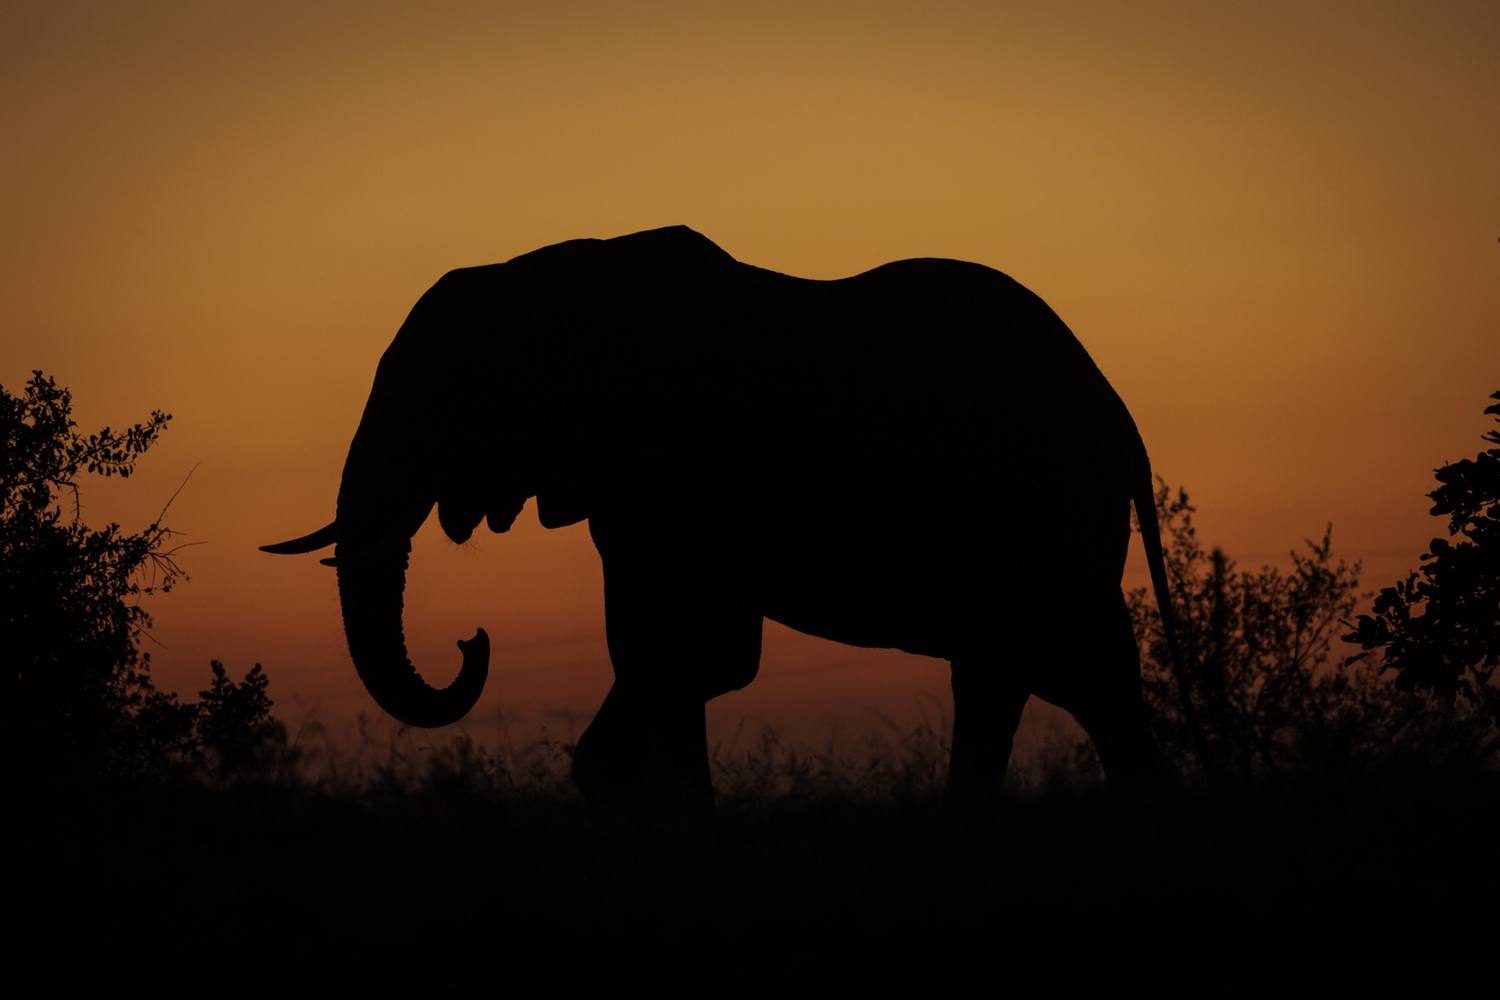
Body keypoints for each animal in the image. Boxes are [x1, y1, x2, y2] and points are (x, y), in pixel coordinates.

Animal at [262, 224, 1183, 806]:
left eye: (445, 397)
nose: (471, 641)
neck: (554, 273)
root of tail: (1123, 418)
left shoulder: (679, 471)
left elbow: (691, 657)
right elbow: (680, 663)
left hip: (1047, 520)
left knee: (1062, 675)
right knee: (1026, 679)